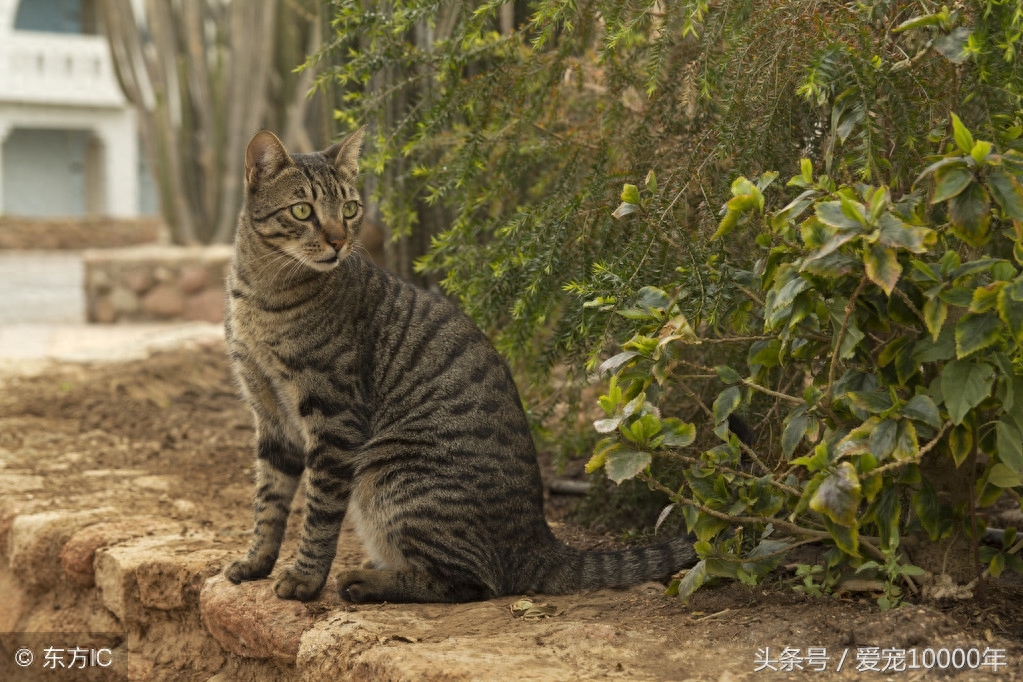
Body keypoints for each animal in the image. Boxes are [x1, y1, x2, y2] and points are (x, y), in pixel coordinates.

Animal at [225, 127, 703, 601]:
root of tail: (539, 541)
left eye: (349, 208)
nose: (339, 240)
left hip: (390, 474)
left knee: (468, 582)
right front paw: (256, 562)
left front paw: (306, 579)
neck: (263, 294)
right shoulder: (269, 414)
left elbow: (319, 512)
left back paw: (364, 581)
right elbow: (269, 501)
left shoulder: (333, 417)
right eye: (302, 210)